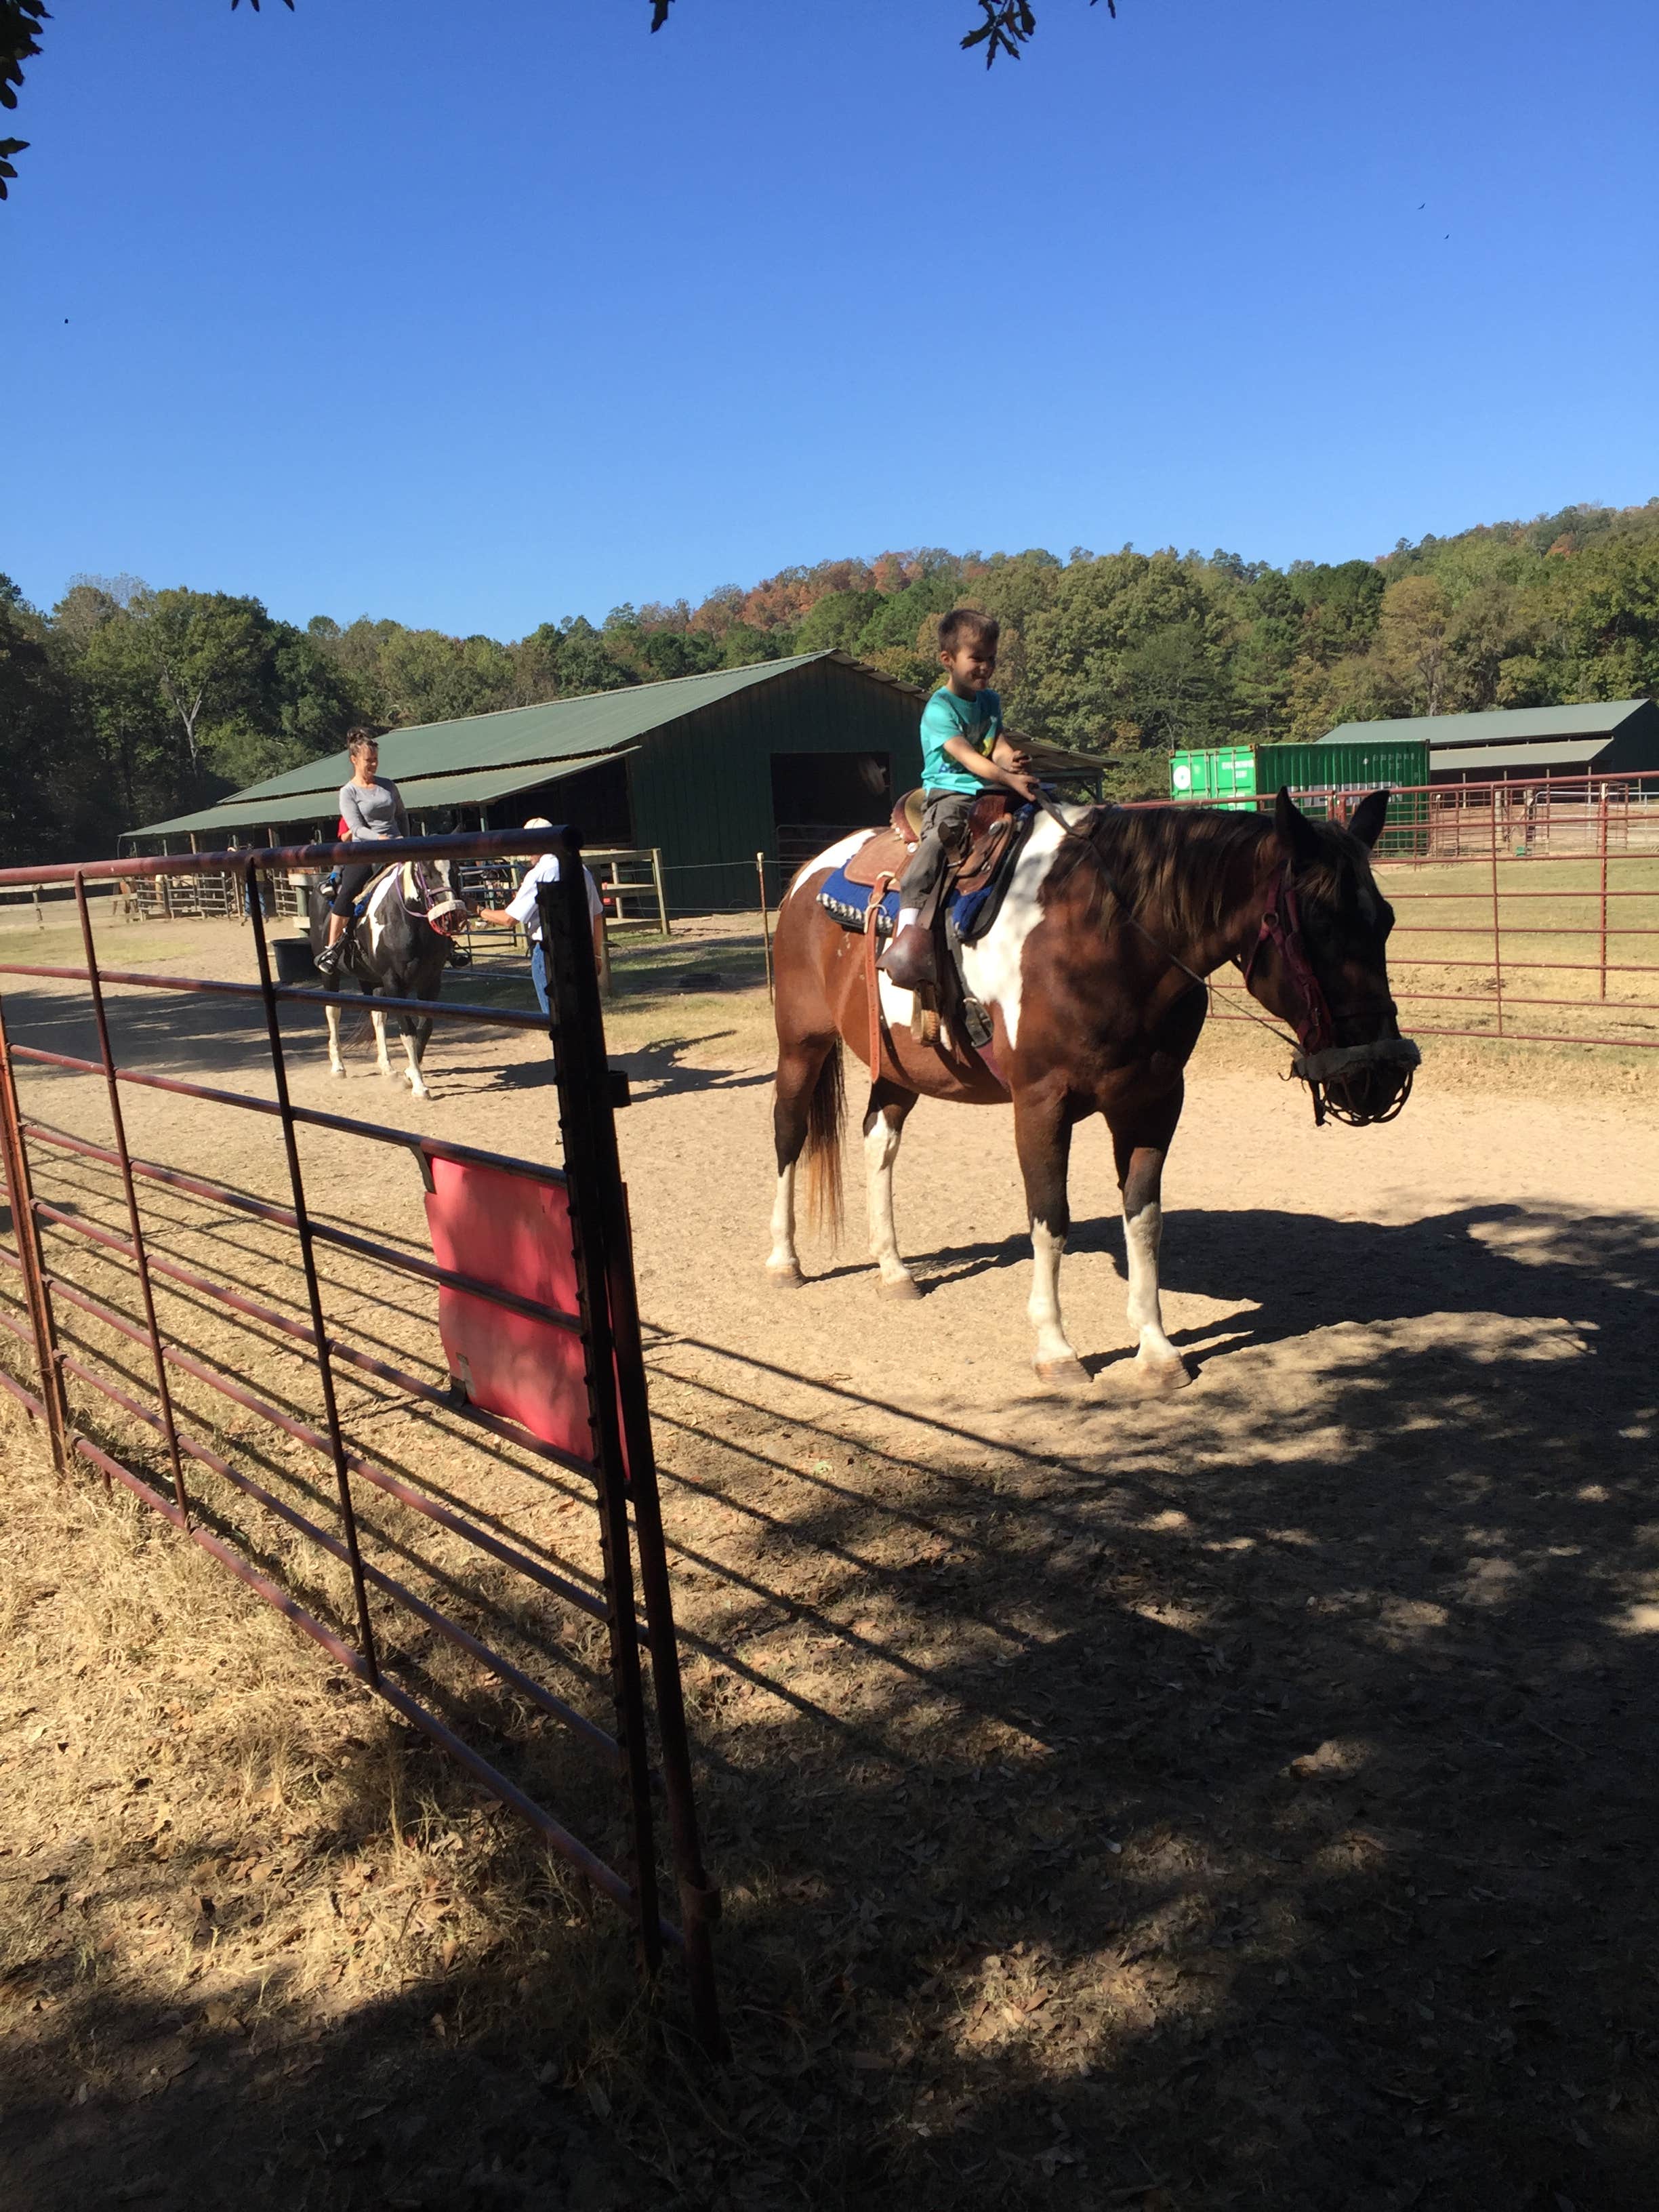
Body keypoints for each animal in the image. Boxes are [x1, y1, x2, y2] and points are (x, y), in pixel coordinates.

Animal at [306, 859, 467, 1099]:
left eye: (455, 871)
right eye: (426, 873)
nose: (452, 916)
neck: (406, 920)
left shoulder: (430, 981)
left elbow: (425, 1028)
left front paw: (409, 1073)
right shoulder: (393, 982)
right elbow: (408, 1031)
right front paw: (418, 1084)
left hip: (371, 979)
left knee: (377, 1016)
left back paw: (387, 1067)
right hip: (331, 975)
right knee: (333, 1012)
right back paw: (338, 1066)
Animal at [766, 786, 1419, 1388]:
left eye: (1386, 921)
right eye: (1318, 924)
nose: (1380, 1073)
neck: (1108, 940)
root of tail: (809, 872)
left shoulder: (1154, 1103)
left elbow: (1145, 1219)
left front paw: (1157, 1350)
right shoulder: (1040, 1104)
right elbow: (1050, 1219)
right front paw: (1056, 1350)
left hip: (901, 1068)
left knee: (879, 1142)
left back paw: (894, 1271)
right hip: (801, 1044)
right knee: (789, 1134)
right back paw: (784, 1261)